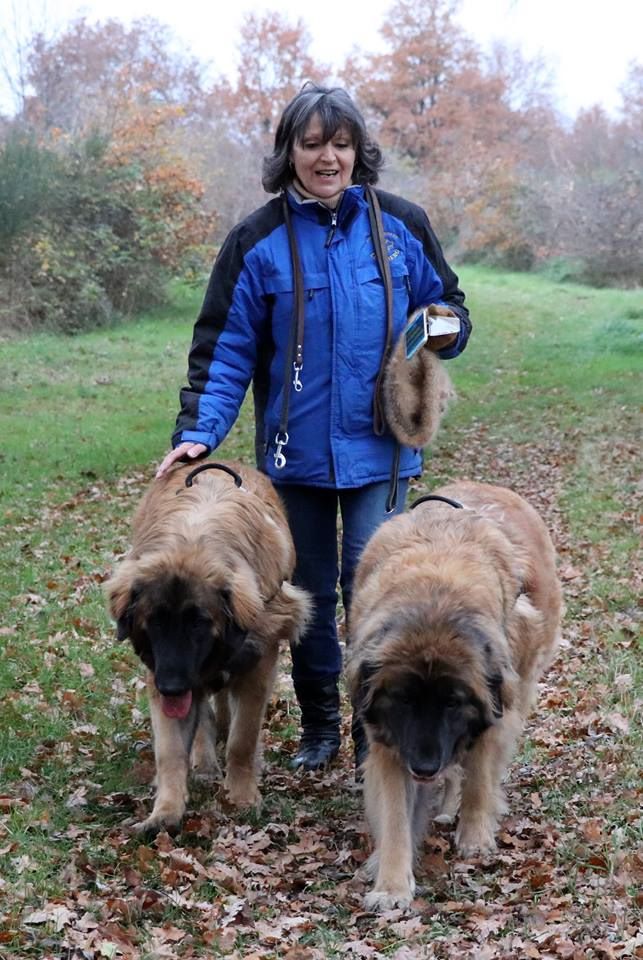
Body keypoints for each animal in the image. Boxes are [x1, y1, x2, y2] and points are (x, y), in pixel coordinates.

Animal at [106, 460, 312, 832]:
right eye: (154, 622)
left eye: (198, 622)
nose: (172, 687)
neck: (193, 542)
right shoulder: (159, 671)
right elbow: (170, 750)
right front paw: (165, 812)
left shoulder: (259, 663)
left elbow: (243, 739)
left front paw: (242, 796)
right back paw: (203, 761)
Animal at [348, 484, 564, 912]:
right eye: (403, 700)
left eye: (452, 702)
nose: (424, 765)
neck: (435, 598)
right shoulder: (390, 742)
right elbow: (394, 814)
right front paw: (391, 883)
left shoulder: (490, 712)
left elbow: (479, 778)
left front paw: (475, 836)